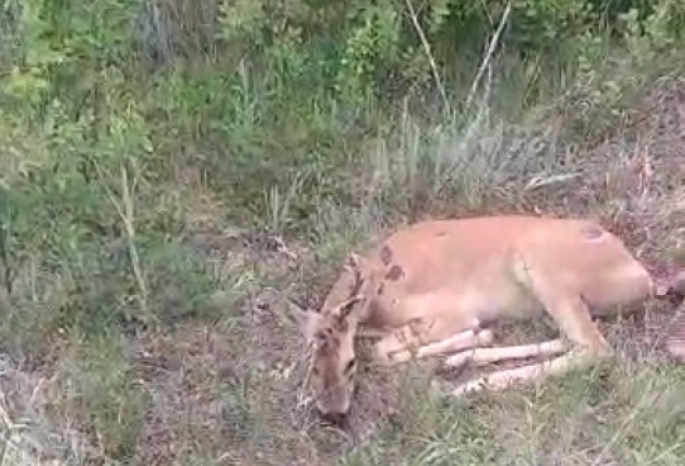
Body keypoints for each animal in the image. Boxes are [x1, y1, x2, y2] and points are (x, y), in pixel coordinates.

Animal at [290, 215, 684, 422]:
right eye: (313, 366)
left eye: (349, 364)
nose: (332, 412)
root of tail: (645, 279)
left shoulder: (449, 311)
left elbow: (383, 351)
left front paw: (471, 340)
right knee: (571, 340)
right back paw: (458, 366)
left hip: (544, 264)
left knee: (597, 348)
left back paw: (460, 388)